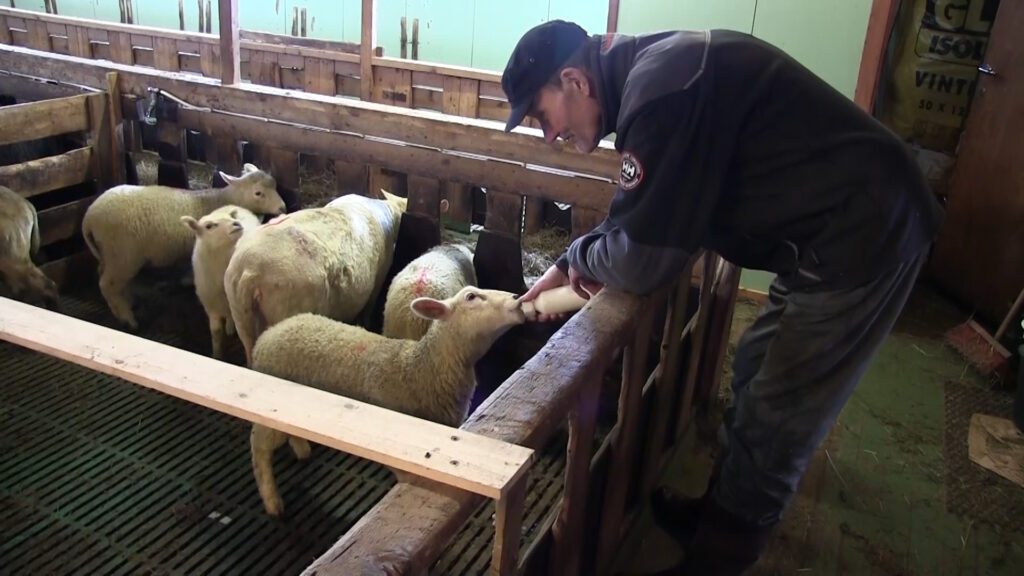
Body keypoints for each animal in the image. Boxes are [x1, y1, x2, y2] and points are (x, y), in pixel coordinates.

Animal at [80, 163, 284, 330]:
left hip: (110, 253)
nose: (282, 207)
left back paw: (126, 302)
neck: (220, 199)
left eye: (274, 185)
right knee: (108, 284)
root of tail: (89, 216)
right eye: (258, 193)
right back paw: (127, 318)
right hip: (123, 255)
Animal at [184, 204, 264, 358]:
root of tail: (233, 206)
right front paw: (217, 355)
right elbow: (216, 332)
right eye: (208, 226)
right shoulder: (211, 306)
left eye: (231, 218)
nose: (236, 224)